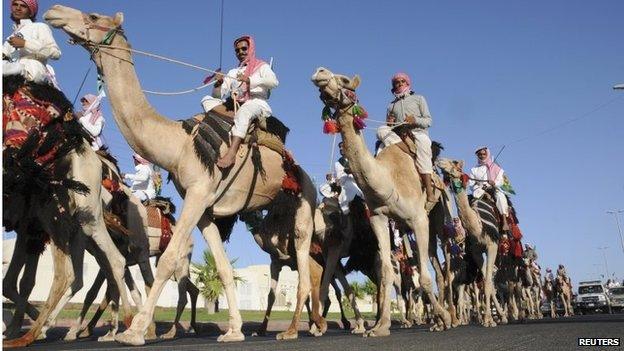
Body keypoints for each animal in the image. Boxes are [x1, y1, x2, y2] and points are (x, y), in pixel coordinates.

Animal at [2, 75, 132, 348]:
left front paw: (22, 327)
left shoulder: (31, 226)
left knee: (77, 271)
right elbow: (17, 282)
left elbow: (19, 281)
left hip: (73, 216)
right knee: (94, 271)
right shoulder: (28, 228)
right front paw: (15, 326)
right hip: (74, 225)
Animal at [45, 5, 316, 346]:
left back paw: (293, 330)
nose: (54, 12)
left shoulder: (198, 193)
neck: (178, 146)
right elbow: (223, 268)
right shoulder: (205, 209)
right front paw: (234, 331)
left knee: (304, 258)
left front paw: (134, 332)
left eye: (93, 17)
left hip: (304, 197)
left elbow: (168, 260)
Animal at [310, 67, 448, 336]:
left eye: (344, 80)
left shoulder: (418, 218)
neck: (387, 179)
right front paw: (379, 327)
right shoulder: (379, 218)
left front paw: (444, 319)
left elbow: (423, 278)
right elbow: (384, 273)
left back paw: (448, 318)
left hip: (434, 216)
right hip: (402, 230)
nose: (320, 72)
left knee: (436, 268)